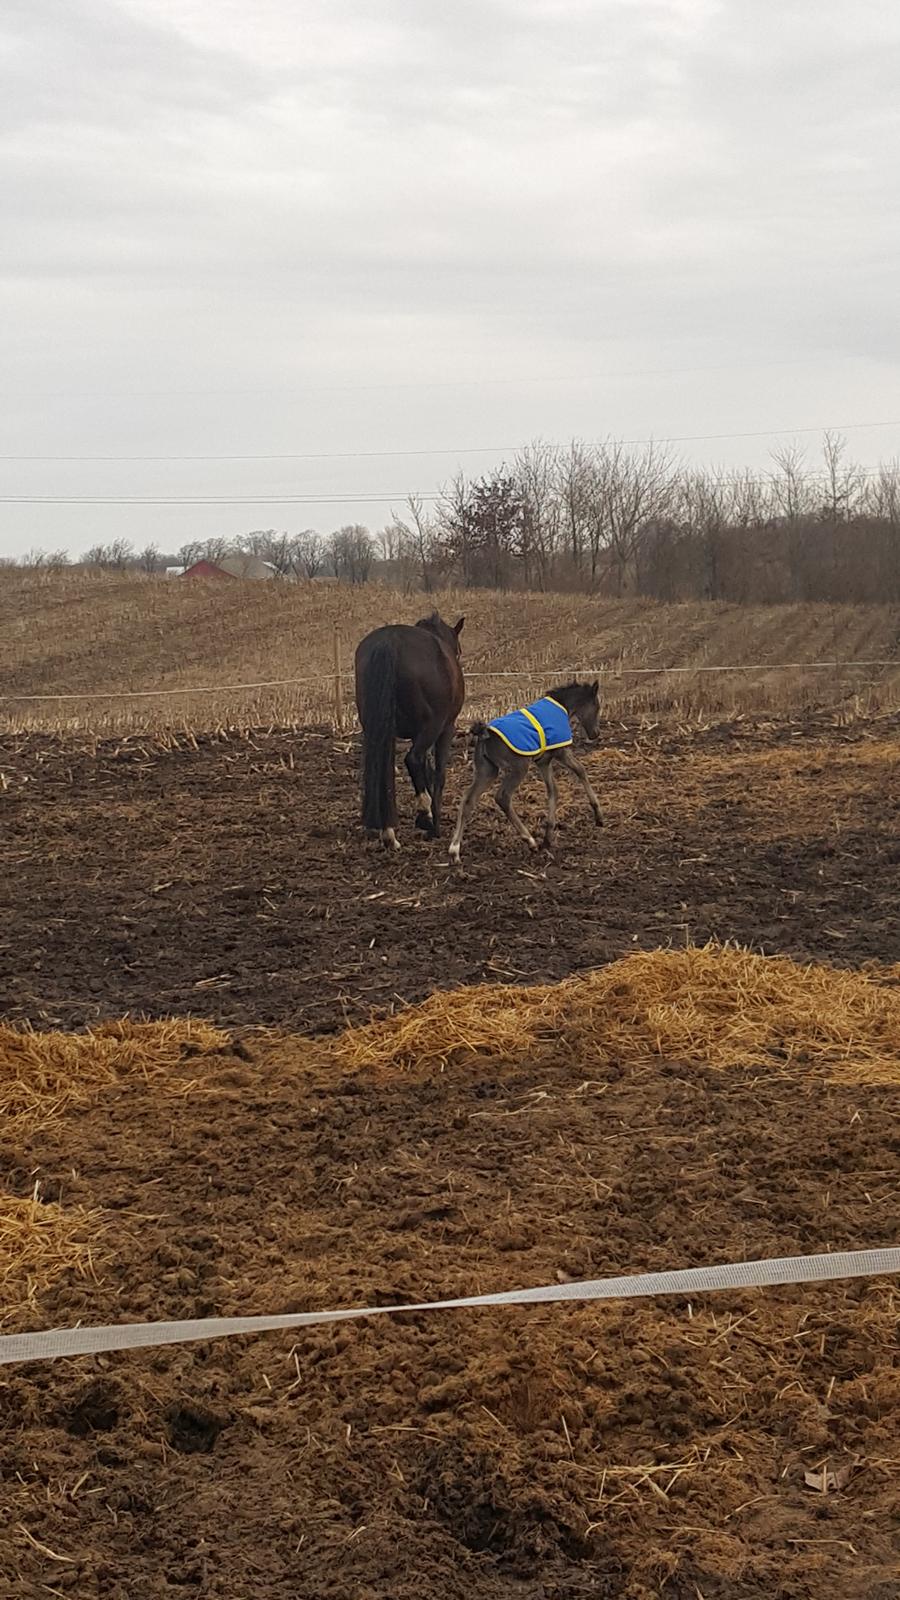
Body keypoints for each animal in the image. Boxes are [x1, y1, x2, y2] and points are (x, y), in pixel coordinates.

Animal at [352, 608, 461, 844]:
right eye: (458, 651)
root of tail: (390, 642)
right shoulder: (445, 730)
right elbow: (438, 774)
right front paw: (435, 825)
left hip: (378, 729)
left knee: (383, 767)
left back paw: (388, 833)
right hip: (431, 728)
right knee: (413, 759)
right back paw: (424, 815)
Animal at [448, 681, 602, 870]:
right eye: (597, 706)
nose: (595, 733)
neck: (562, 706)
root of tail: (485, 732)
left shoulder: (544, 761)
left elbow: (553, 790)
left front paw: (548, 838)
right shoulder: (561, 752)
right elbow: (581, 770)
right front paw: (598, 815)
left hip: (487, 771)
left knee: (468, 800)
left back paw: (455, 850)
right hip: (518, 768)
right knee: (503, 797)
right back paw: (530, 841)